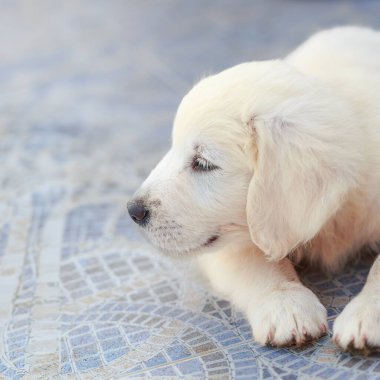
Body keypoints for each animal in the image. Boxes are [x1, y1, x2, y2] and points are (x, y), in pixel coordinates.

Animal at [127, 26, 380, 352]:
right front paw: (286, 305)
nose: (133, 210)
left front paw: (366, 313)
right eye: (173, 147)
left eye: (204, 164)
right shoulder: (231, 240)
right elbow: (255, 262)